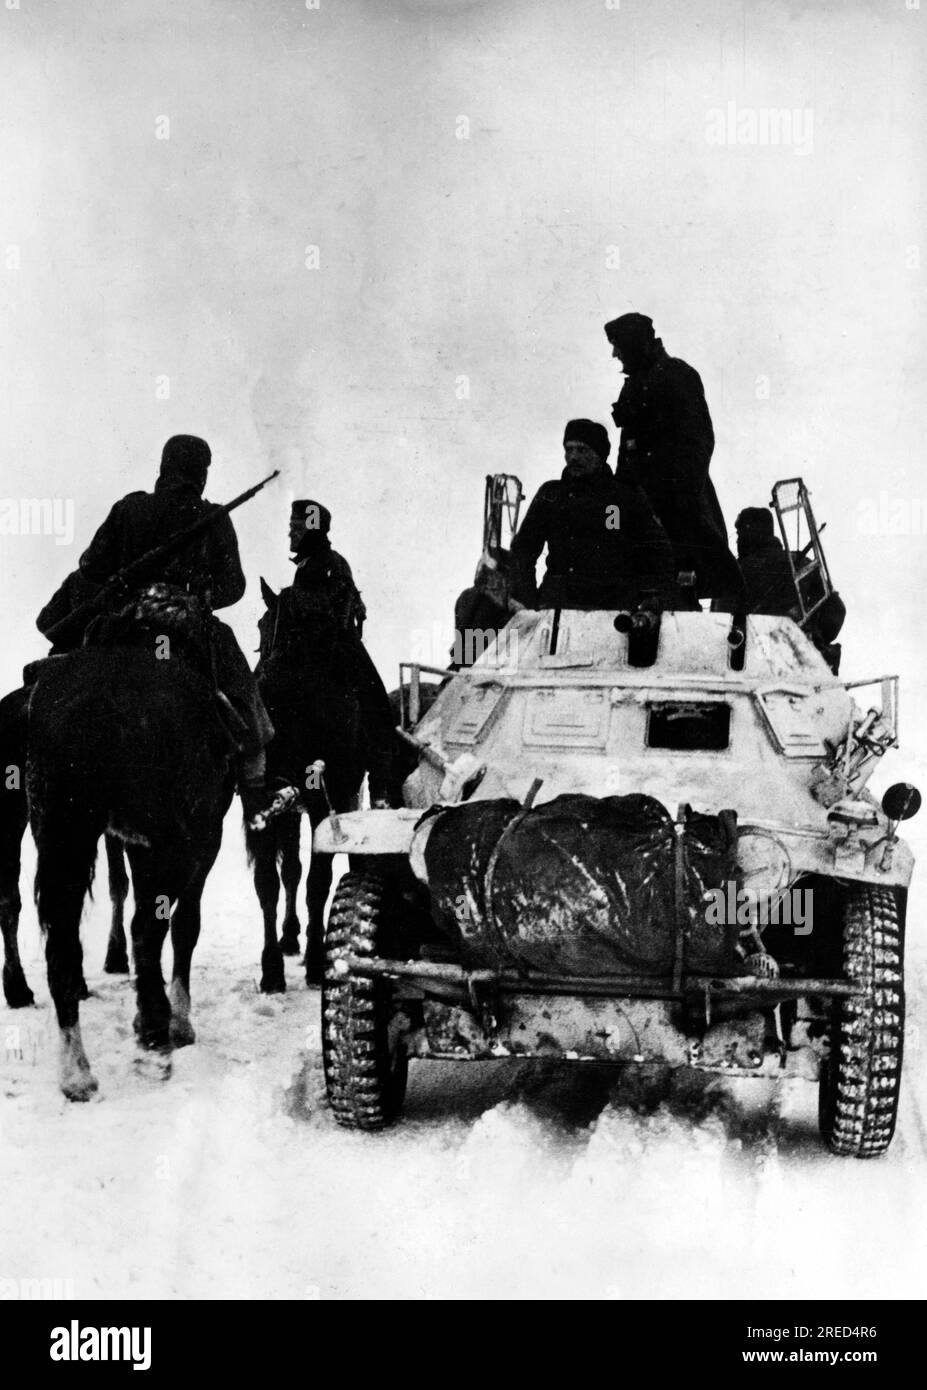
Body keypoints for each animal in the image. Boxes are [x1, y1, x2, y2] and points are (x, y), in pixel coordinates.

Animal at [28, 639, 236, 1095]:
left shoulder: (134, 843)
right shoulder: (201, 840)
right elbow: (183, 927)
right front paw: (178, 1020)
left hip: (63, 836)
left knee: (64, 944)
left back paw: (76, 1071)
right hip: (176, 840)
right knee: (146, 928)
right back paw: (155, 1035)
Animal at [244, 581, 397, 995]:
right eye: (261, 627)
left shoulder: (319, 804)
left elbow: (311, 881)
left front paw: (308, 962)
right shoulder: (269, 804)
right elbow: (280, 882)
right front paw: (278, 967)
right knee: (290, 874)